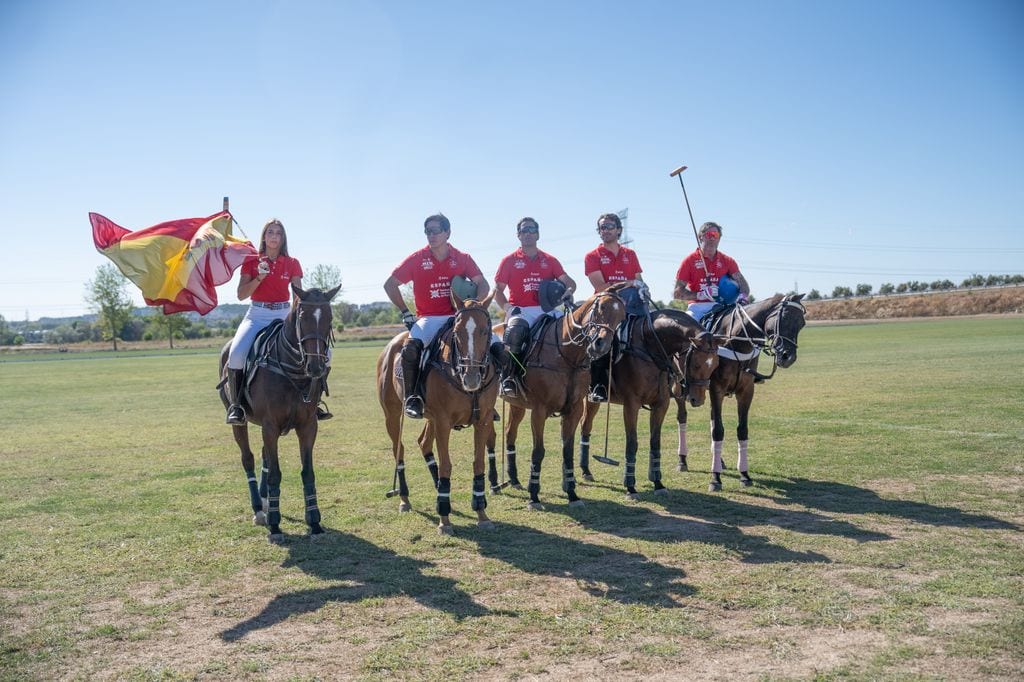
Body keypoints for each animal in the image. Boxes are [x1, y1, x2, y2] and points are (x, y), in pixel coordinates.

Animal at [218, 284, 342, 540]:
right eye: (302, 317)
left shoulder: (308, 426)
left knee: (264, 455)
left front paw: (314, 521)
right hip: (240, 421)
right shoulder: (270, 426)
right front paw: (275, 525)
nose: (316, 367)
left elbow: (307, 472)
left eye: (329, 318)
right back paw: (259, 510)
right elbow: (275, 473)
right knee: (248, 458)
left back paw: (266, 503)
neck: (294, 370)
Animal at [380, 288, 499, 532]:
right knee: (399, 450)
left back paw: (438, 492)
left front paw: (482, 513)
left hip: (430, 417)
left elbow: (478, 463)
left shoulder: (482, 419)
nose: (471, 378)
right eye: (457, 332)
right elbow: (446, 466)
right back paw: (404, 499)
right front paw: (444, 520)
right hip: (392, 413)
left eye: (485, 330)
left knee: (423, 442)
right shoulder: (444, 421)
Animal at [483, 280, 626, 509]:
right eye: (601, 307)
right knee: (491, 438)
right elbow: (538, 451)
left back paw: (513, 479)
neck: (568, 357)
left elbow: (567, 450)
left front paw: (572, 493)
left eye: (621, 316)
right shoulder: (539, 410)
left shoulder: (574, 409)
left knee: (509, 433)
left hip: (517, 404)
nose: (601, 345)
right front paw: (534, 496)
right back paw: (495, 483)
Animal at [577, 311, 720, 497]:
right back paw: (585, 471)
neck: (651, 349)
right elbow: (632, 443)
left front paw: (658, 483)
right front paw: (630, 486)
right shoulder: (631, 405)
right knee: (584, 425)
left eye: (715, 365)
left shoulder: (661, 405)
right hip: (588, 398)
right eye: (696, 364)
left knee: (586, 427)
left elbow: (655, 442)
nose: (698, 400)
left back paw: (586, 470)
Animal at [671, 292, 806, 489]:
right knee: (682, 417)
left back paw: (719, 461)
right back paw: (682, 460)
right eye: (784, 319)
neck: (736, 340)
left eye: (802, 323)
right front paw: (715, 478)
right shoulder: (716, 389)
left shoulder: (746, 391)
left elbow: (741, 430)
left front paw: (744, 475)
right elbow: (718, 431)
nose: (788, 358)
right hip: (679, 387)